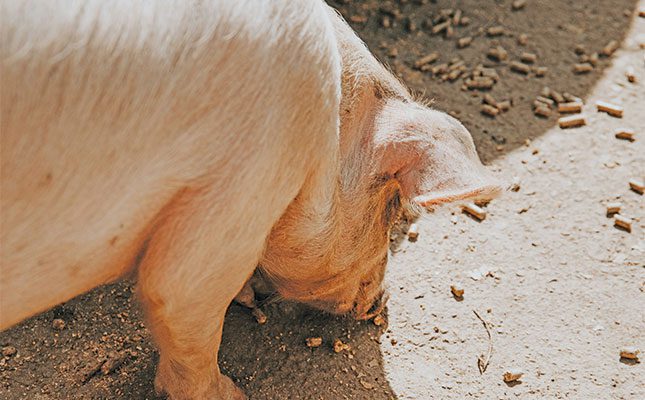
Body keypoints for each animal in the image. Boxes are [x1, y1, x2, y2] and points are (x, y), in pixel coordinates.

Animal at [0, 1, 501, 399]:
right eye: (393, 210)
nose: (382, 303)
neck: (327, 136)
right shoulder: (246, 184)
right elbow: (180, 301)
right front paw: (234, 393)